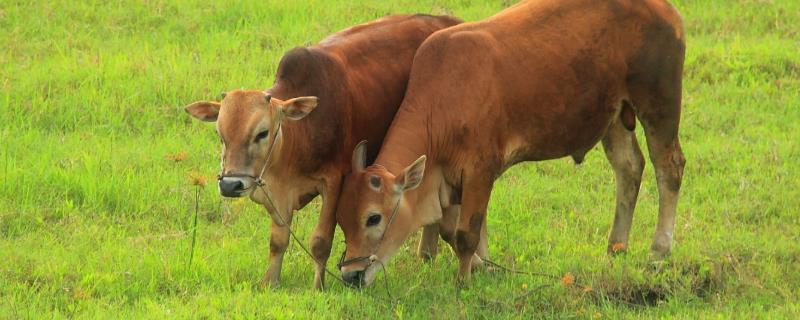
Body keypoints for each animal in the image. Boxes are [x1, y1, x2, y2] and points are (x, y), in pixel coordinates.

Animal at [184, 13, 460, 288]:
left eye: (262, 133)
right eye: (220, 134)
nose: (230, 185)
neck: (299, 135)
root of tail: (447, 19)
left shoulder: (333, 182)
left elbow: (320, 241)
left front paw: (319, 287)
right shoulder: (275, 193)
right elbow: (278, 241)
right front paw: (270, 282)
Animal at [334, 0, 684, 286]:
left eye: (374, 217)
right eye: (340, 219)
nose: (351, 275)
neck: (443, 99)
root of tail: (665, 10)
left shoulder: (480, 170)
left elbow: (465, 233)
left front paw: (464, 279)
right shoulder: (448, 179)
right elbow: (450, 230)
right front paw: (484, 266)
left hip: (659, 104)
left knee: (669, 169)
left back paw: (658, 251)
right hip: (613, 116)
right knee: (629, 168)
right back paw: (616, 247)